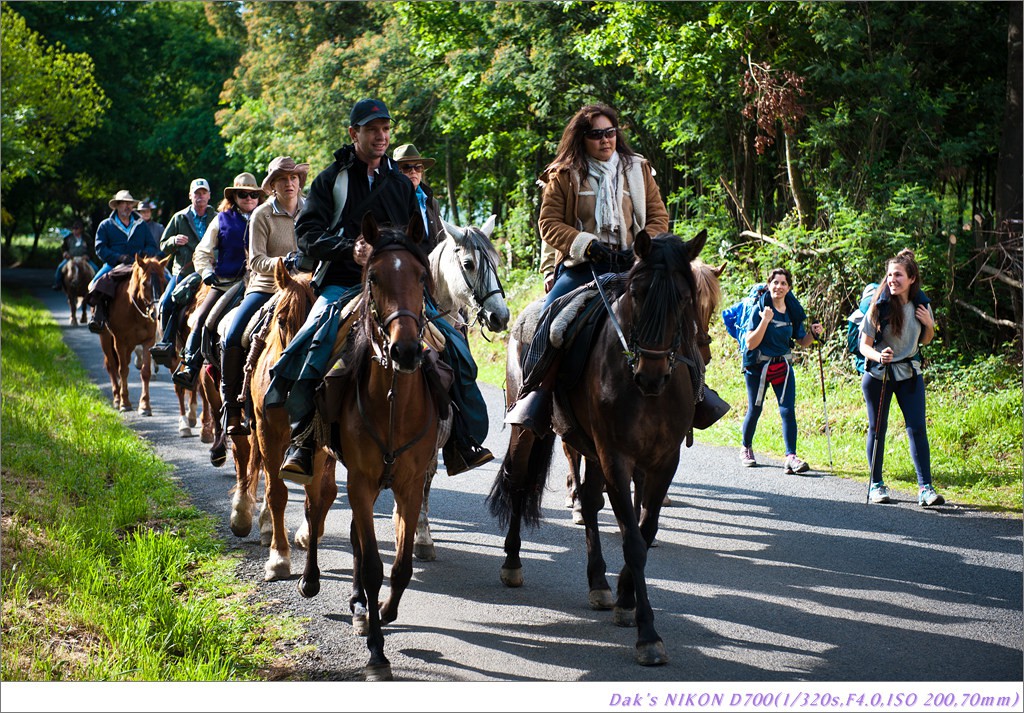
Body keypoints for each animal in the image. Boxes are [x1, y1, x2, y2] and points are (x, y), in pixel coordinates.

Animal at [98, 256, 168, 415]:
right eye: (144, 283)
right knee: (112, 365)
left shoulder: (148, 341)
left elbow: (145, 371)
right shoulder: (120, 342)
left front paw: (145, 406)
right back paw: (117, 399)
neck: (135, 312)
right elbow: (122, 370)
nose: (155, 313)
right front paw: (125, 403)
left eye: (163, 282)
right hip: (106, 339)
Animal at [489, 229, 716, 667]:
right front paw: (648, 635)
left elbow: (643, 530)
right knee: (521, 485)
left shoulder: (662, 461)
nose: (650, 374)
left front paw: (626, 600)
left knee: (591, 504)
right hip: (530, 432)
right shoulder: (617, 457)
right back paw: (511, 562)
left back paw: (598, 582)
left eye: (684, 297)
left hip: (591, 449)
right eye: (638, 293)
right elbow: (632, 541)